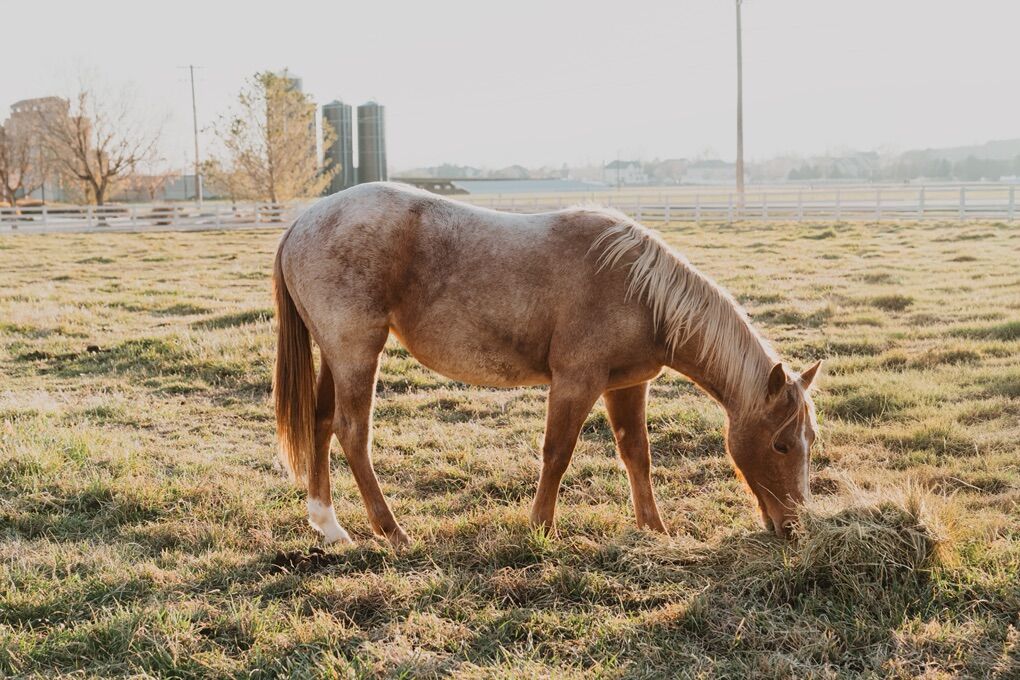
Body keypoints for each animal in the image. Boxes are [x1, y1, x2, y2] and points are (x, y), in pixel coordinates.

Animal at [273, 182, 820, 548]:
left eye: (809, 441)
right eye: (781, 444)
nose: (794, 528)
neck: (639, 291)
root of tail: (301, 223)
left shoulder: (627, 386)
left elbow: (636, 454)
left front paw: (654, 530)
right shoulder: (577, 382)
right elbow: (557, 453)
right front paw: (539, 527)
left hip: (336, 358)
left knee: (321, 423)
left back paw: (330, 527)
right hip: (357, 353)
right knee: (352, 433)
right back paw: (392, 531)